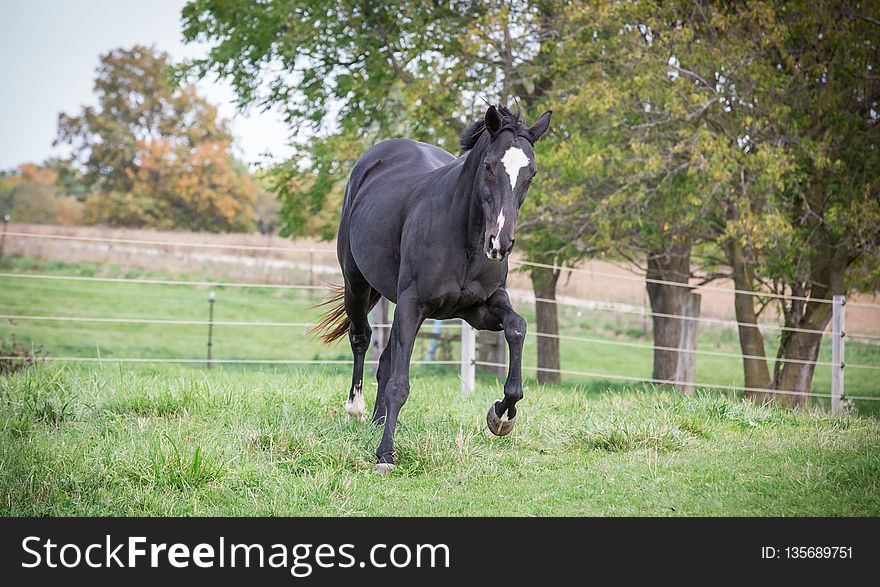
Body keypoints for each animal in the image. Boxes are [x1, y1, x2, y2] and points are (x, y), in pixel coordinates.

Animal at [314, 104, 552, 474]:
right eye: (489, 166)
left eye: (531, 173)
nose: (500, 244)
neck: (464, 237)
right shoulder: (413, 304)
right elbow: (399, 384)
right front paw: (385, 455)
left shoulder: (480, 308)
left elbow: (517, 326)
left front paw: (501, 415)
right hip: (357, 283)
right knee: (361, 338)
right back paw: (356, 409)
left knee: (385, 357)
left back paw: (377, 421)